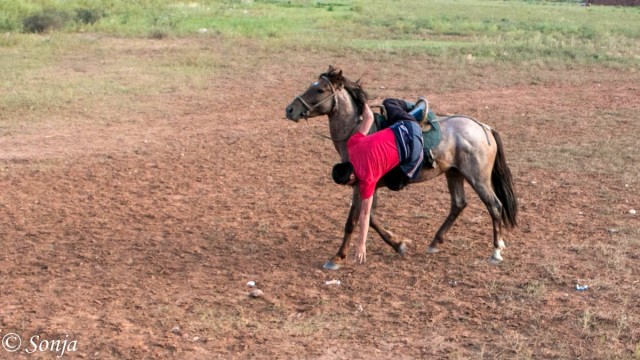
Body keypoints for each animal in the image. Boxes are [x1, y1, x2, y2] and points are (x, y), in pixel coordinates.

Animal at [284, 67, 516, 270]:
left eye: (320, 90)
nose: (290, 109)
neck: (359, 132)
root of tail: (483, 127)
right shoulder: (370, 186)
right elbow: (370, 218)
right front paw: (398, 244)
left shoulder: (361, 183)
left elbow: (353, 220)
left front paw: (337, 257)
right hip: (454, 173)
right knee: (458, 204)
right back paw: (435, 242)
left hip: (478, 178)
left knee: (494, 206)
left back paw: (496, 251)